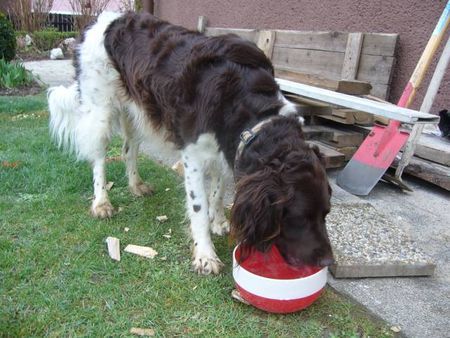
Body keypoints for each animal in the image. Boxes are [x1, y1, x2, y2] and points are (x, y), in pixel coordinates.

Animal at [48, 11, 334, 274]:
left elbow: (217, 192)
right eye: (299, 218)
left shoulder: (226, 150)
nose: (328, 262)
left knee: (129, 148)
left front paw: (218, 221)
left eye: (326, 214)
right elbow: (199, 206)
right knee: (99, 157)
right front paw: (205, 254)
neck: (245, 102)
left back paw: (136, 185)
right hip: (101, 109)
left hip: (136, 109)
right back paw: (101, 203)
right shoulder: (194, 156)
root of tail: (103, 18)